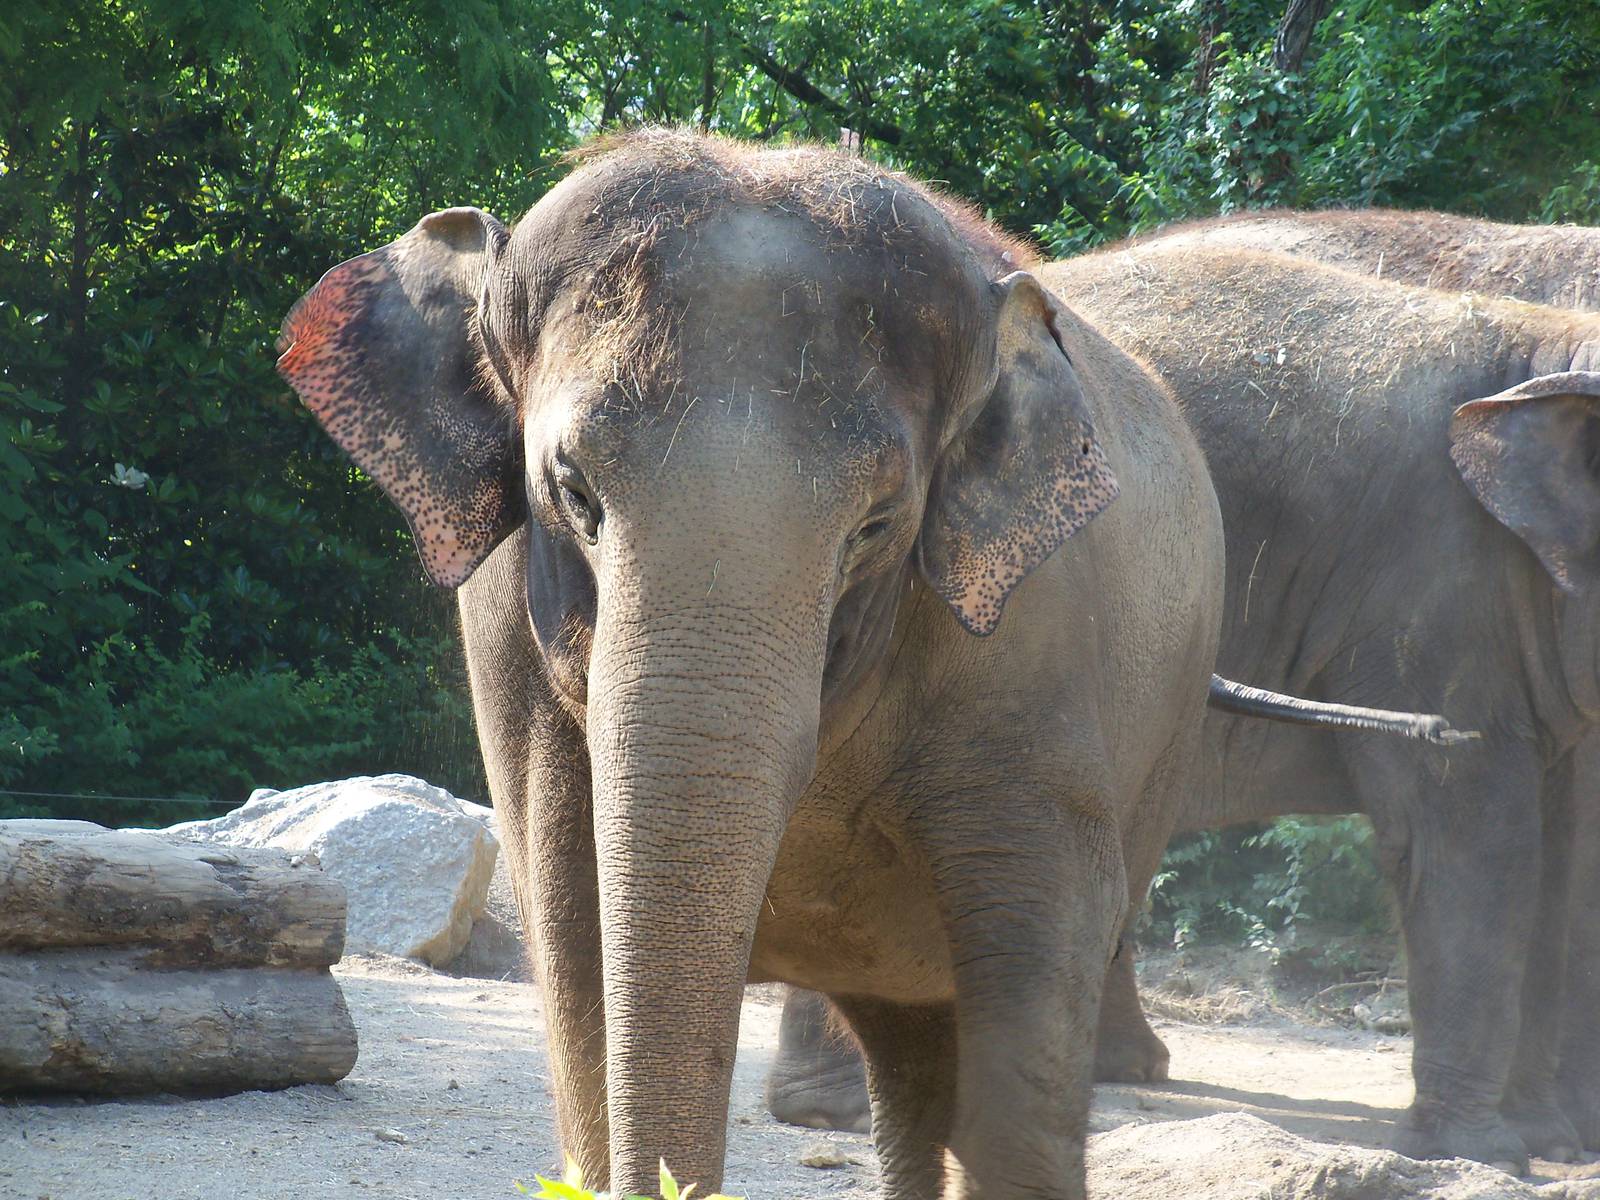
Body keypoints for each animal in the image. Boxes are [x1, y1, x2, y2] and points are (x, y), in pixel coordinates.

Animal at [277, 130, 1452, 1198]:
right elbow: (577, 949)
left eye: (878, 524)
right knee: (908, 1058)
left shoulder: (1036, 656)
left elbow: (1038, 972)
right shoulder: (506, 655)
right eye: (572, 490)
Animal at [1036, 240, 1600, 1172]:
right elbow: (1473, 830)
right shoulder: (1431, 584)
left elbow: (1562, 851)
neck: (1549, 345)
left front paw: (1549, 1141)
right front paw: (1481, 1155)